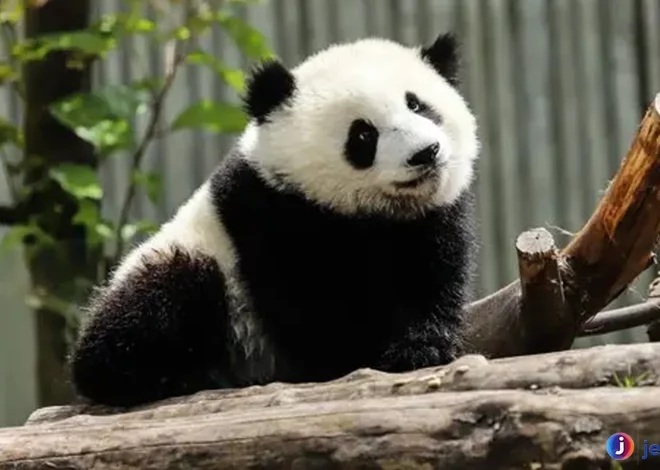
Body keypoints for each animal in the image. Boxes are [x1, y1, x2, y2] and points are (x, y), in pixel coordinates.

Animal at [69, 31, 480, 407]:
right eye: (363, 134)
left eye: (418, 105)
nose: (425, 153)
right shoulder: (269, 216)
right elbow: (309, 305)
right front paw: (353, 354)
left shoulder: (429, 221)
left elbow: (429, 280)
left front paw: (421, 348)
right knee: (161, 298)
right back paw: (173, 375)